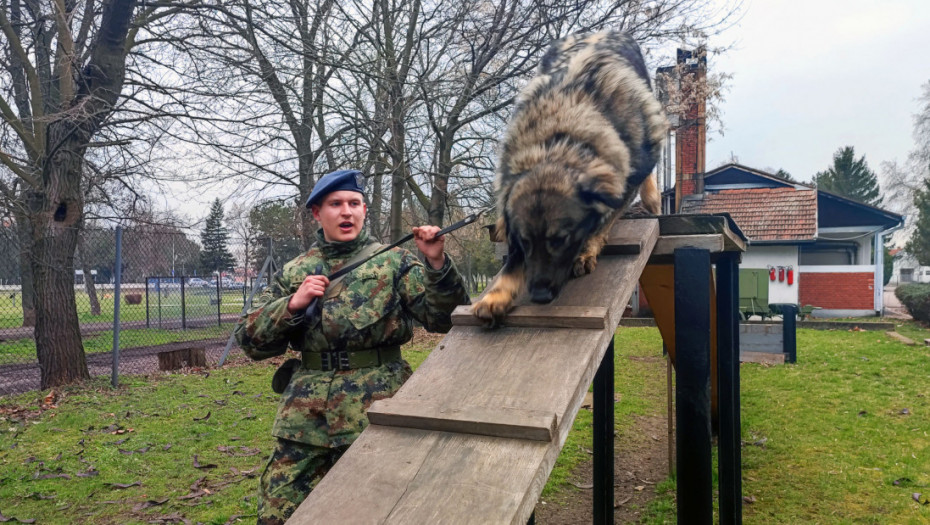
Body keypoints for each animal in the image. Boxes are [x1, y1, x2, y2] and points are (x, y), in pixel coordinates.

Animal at [472, 30, 668, 324]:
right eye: (526, 242)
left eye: (561, 240)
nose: (539, 296)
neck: (558, 141)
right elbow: (512, 259)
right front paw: (497, 295)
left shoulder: (623, 179)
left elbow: (603, 221)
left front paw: (587, 250)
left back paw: (652, 200)